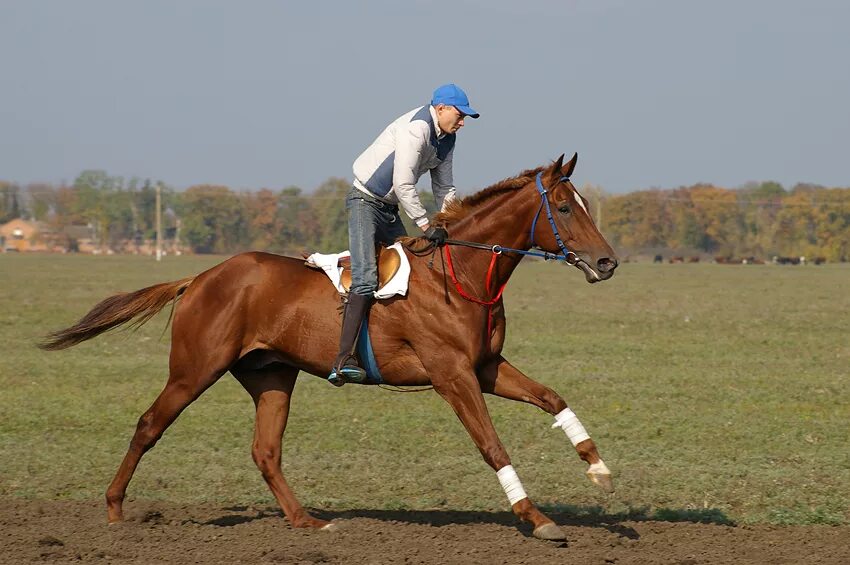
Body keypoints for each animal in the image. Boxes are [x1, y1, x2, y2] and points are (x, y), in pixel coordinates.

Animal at [41, 152, 616, 540]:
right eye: (564, 207)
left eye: (586, 203)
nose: (608, 262)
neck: (460, 271)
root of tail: (200, 277)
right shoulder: (452, 375)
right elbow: (492, 444)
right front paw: (536, 518)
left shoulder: (486, 366)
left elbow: (553, 398)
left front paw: (597, 467)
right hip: (194, 370)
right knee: (149, 425)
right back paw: (115, 509)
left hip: (271, 375)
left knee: (266, 451)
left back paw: (307, 521)